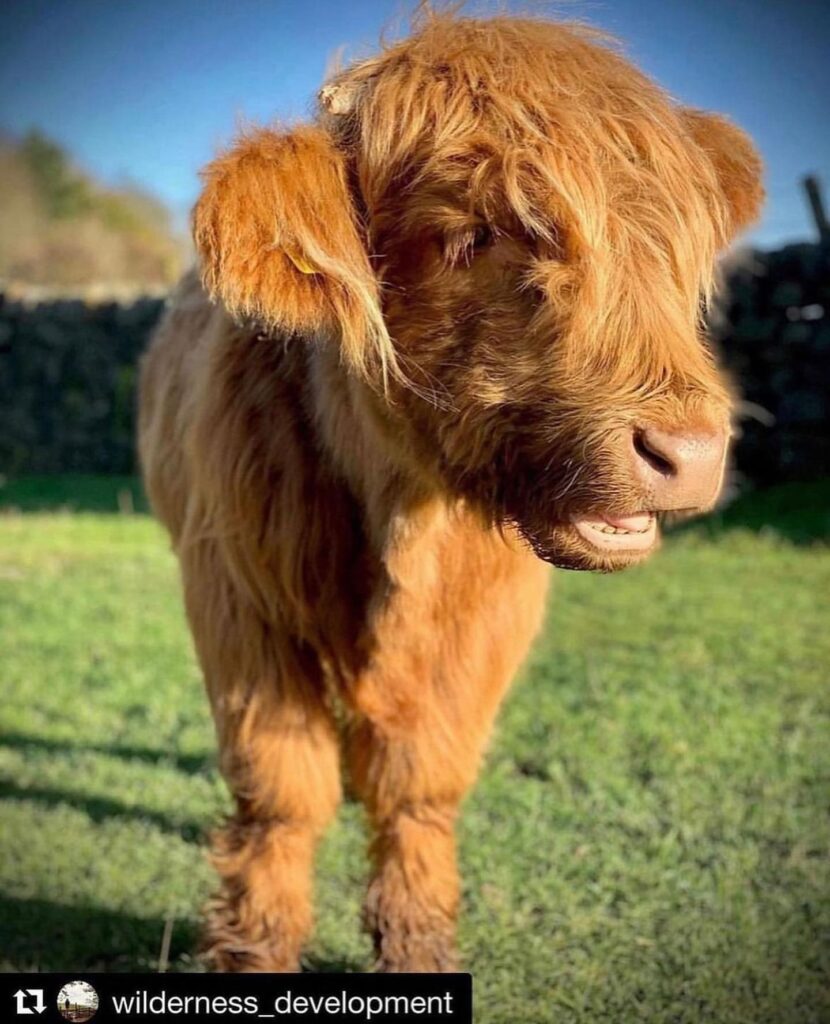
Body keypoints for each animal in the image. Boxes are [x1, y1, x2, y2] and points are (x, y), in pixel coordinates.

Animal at [138, 12, 765, 970]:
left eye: (673, 246)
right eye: (469, 233)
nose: (687, 451)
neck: (400, 514)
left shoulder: (487, 620)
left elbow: (420, 784)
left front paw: (418, 945)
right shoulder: (237, 602)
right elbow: (280, 789)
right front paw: (253, 951)